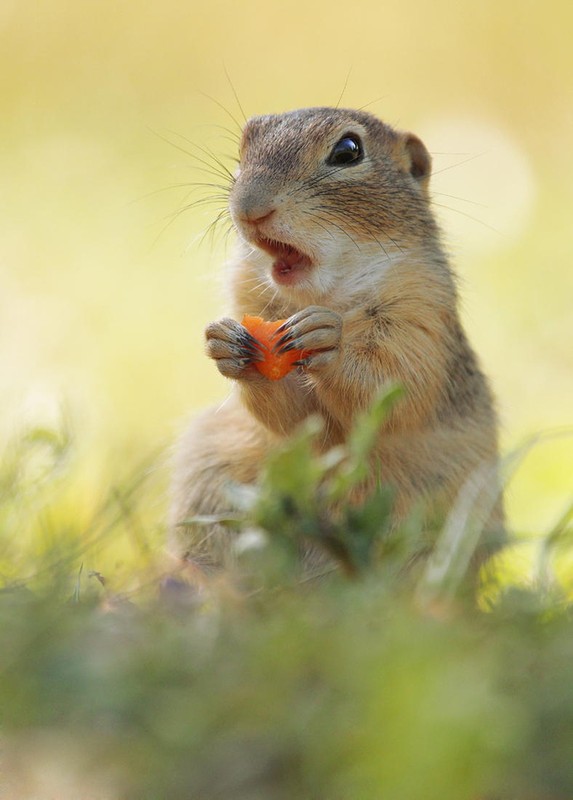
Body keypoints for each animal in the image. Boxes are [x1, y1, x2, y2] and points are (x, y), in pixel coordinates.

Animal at [168, 108, 502, 568]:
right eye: (244, 145)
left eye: (348, 151)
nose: (249, 209)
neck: (325, 295)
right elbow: (294, 421)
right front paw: (224, 343)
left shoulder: (420, 313)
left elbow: (396, 385)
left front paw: (329, 339)